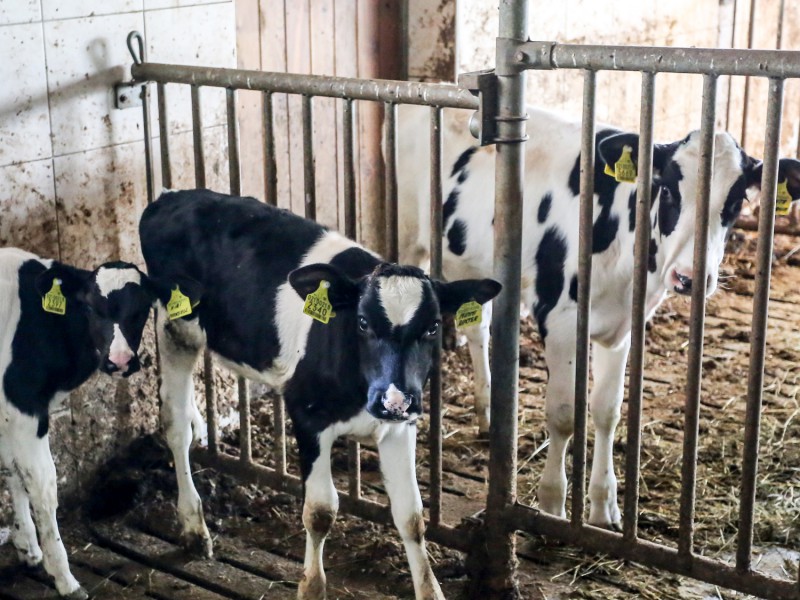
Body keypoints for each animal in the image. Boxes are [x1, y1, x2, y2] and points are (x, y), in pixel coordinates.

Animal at [0, 247, 161, 599]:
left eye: (142, 308)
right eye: (90, 307)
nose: (119, 361)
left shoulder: (8, 410)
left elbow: (14, 472)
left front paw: (28, 547)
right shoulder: (25, 407)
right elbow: (43, 487)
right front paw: (64, 577)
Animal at [138, 189, 501, 600]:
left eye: (434, 326)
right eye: (362, 322)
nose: (394, 400)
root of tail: (173, 197)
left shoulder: (400, 426)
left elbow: (411, 515)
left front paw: (431, 590)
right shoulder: (307, 416)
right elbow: (321, 510)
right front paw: (311, 586)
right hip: (175, 328)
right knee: (175, 426)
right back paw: (193, 527)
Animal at [398, 105, 800, 528]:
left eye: (736, 201)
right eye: (668, 189)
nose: (689, 278)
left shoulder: (622, 327)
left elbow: (607, 411)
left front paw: (604, 506)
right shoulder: (560, 322)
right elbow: (563, 415)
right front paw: (553, 504)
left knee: (479, 330)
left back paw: (488, 413)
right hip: (410, 240)